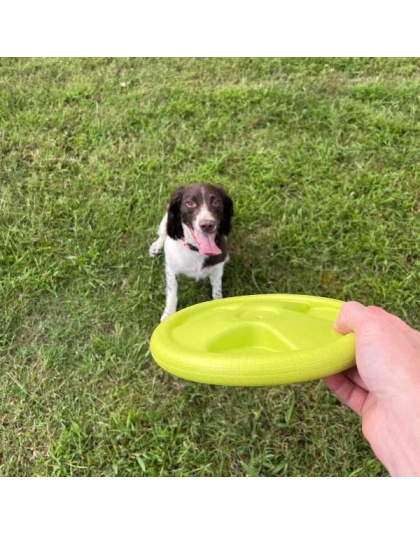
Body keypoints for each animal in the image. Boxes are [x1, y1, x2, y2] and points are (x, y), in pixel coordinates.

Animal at [148, 184, 233, 322]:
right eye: (190, 203)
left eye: (216, 202)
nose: (207, 225)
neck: (196, 249)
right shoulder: (170, 269)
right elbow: (172, 292)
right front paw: (169, 314)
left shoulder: (217, 268)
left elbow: (216, 290)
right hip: (166, 220)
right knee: (163, 234)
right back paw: (156, 246)